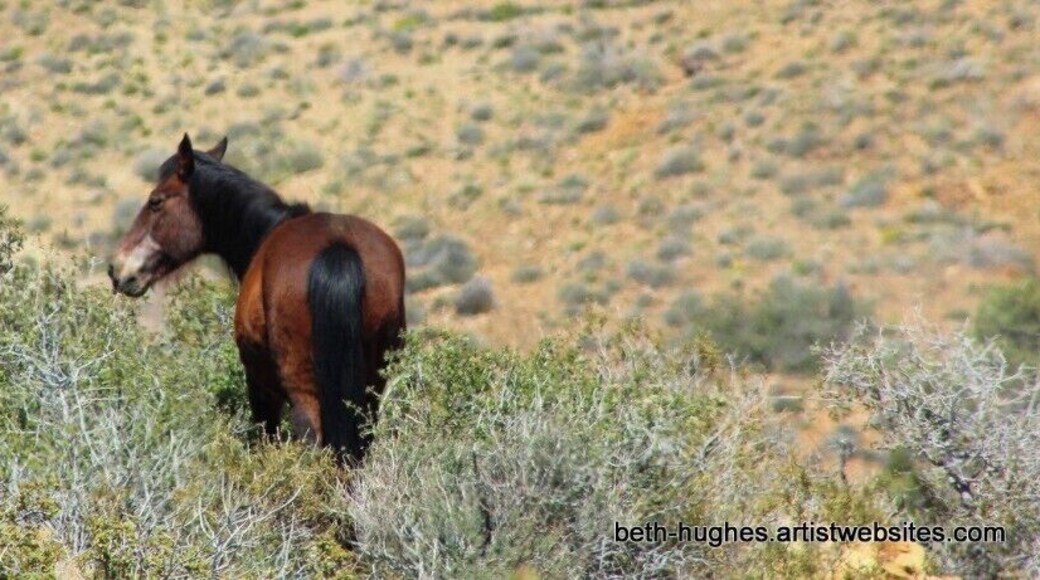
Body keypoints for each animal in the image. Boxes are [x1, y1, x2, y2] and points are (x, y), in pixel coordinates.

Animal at [109, 134, 406, 464]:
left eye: (156, 201)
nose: (117, 269)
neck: (267, 232)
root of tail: (337, 248)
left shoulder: (260, 387)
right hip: (370, 386)